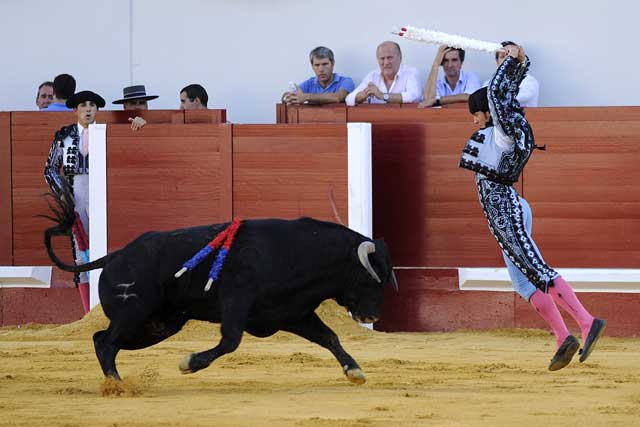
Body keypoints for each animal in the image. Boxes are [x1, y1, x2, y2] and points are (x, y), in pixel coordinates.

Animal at [42, 187, 396, 384]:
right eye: (371, 278)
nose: (372, 317)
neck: (298, 252)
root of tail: (116, 255)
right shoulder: (236, 302)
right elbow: (230, 341)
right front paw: (188, 363)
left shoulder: (294, 313)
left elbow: (330, 337)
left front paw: (354, 371)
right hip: (134, 313)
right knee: (106, 343)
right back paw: (117, 384)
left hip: (158, 325)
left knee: (102, 339)